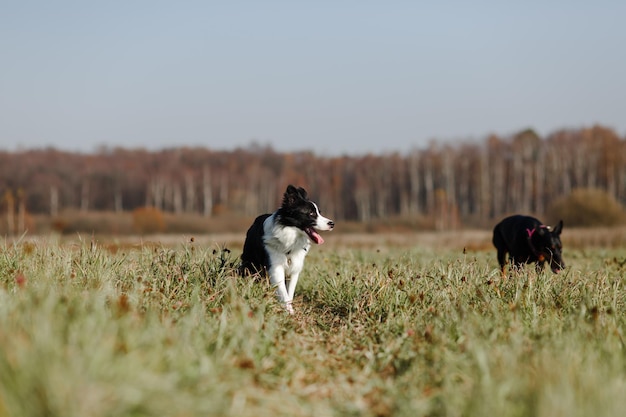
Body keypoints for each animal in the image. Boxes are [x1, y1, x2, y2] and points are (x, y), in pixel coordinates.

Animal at [240, 184, 334, 312]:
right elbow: (283, 293)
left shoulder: (294, 269)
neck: (289, 239)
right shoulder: (275, 267)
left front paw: (290, 311)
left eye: (319, 212)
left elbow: (289, 293)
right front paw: (288, 312)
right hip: (249, 263)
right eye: (311, 213)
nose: (332, 223)